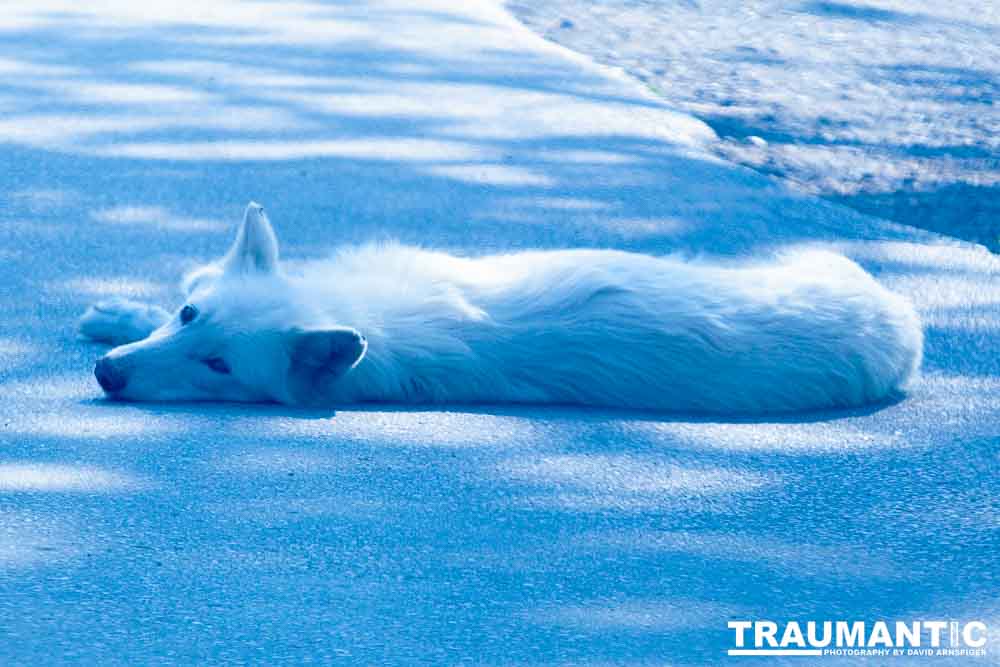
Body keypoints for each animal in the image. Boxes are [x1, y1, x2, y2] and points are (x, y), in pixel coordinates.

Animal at [80, 201, 920, 414]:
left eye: (219, 367)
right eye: (190, 317)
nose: (107, 376)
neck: (352, 305)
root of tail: (898, 314)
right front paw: (113, 314)